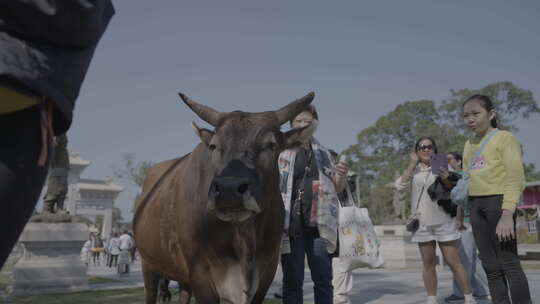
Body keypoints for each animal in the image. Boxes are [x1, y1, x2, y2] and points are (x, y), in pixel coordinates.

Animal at [132, 91, 314, 302]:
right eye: (214, 146)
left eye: (271, 145)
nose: (229, 189)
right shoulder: (200, 274)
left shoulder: (266, 273)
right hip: (148, 266)